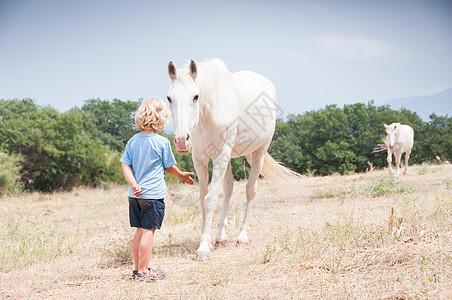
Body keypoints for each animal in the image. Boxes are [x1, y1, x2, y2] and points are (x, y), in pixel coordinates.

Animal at [166, 58, 296, 260]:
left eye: (196, 96)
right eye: (169, 98)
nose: (181, 140)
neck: (209, 114)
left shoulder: (220, 155)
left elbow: (210, 200)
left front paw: (203, 248)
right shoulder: (200, 158)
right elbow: (203, 198)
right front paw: (206, 241)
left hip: (258, 152)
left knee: (250, 191)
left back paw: (242, 236)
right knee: (229, 188)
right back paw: (220, 235)